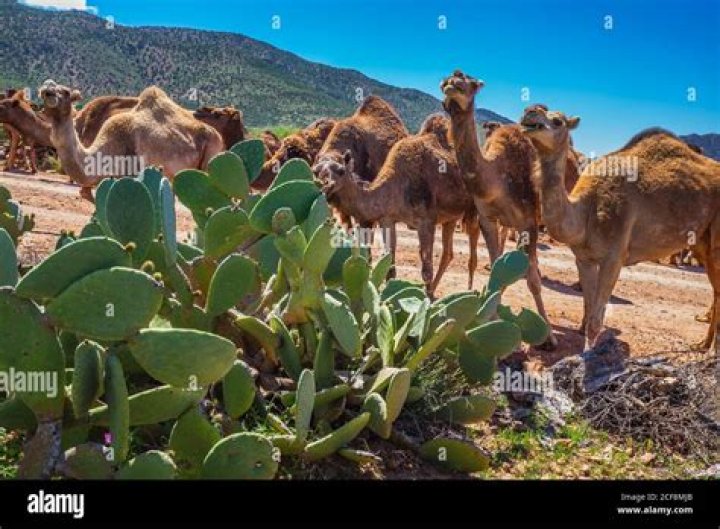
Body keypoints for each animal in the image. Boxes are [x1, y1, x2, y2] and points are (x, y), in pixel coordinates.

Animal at [317, 113, 497, 295]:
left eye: (340, 171)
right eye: (317, 171)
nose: (325, 186)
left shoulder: (426, 221)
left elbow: (426, 270)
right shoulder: (387, 219)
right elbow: (389, 265)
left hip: (476, 208)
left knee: (478, 246)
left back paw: (471, 289)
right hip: (451, 217)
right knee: (448, 253)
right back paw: (437, 292)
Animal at [440, 70, 556, 348]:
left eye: (469, 82)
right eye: (446, 81)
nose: (452, 83)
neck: (497, 179)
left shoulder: (528, 223)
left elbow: (533, 282)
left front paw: (548, 336)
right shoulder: (487, 219)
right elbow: (497, 269)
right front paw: (488, 320)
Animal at [519, 105, 720, 351]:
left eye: (557, 121)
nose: (530, 111)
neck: (585, 211)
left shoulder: (614, 257)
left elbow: (596, 321)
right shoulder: (584, 258)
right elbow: (588, 307)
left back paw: (713, 349)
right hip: (702, 242)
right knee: (716, 290)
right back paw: (704, 344)